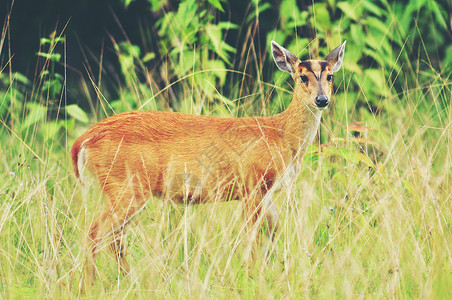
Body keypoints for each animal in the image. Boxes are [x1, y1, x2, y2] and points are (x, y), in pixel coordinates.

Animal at [70, 40, 346, 284]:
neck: (282, 136)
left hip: (123, 189)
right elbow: (252, 236)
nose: (322, 100)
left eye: (330, 76)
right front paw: (251, 277)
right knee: (95, 233)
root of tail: (84, 139)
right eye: (302, 77)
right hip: (126, 186)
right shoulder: (253, 183)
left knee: (113, 238)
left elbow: (273, 229)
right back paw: (91, 285)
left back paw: (128, 280)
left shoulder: (266, 191)